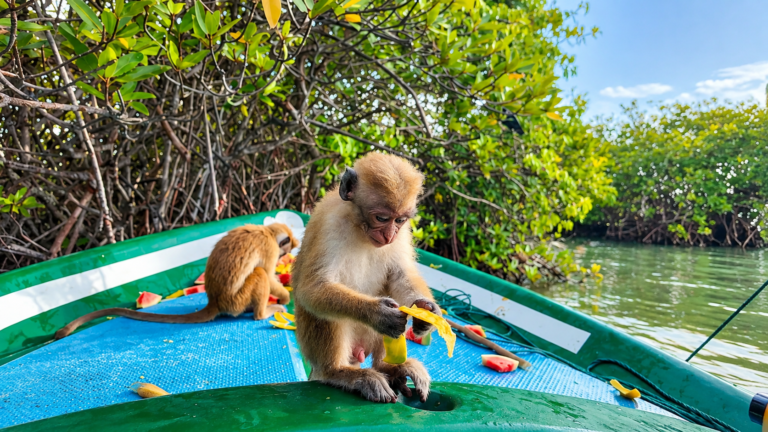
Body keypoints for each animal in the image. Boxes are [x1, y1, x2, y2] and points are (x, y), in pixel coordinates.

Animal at [54, 223, 299, 340]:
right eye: (285, 248)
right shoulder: (269, 247)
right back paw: (262, 313)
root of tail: (215, 302)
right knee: (259, 273)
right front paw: (286, 295)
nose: (286, 254)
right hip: (236, 300)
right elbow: (268, 274)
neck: (267, 231)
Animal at [292, 152, 441, 404]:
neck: (359, 227)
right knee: (324, 313)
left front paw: (426, 310)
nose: (389, 235)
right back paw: (340, 373)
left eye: (399, 220)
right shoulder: (329, 225)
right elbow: (313, 289)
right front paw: (378, 313)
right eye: (381, 217)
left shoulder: (404, 234)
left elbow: (400, 274)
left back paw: (388, 367)